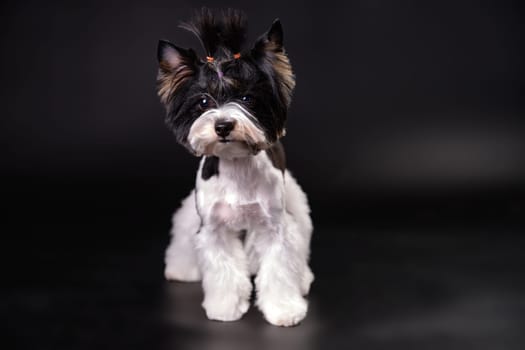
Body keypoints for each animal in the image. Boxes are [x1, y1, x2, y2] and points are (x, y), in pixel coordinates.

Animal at [155, 9, 312, 326]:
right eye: (203, 101)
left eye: (246, 98)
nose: (224, 125)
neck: (237, 165)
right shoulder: (213, 227)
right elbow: (223, 269)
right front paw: (225, 307)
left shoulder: (275, 226)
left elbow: (279, 268)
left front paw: (284, 309)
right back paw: (181, 269)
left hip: (295, 204)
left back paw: (303, 278)